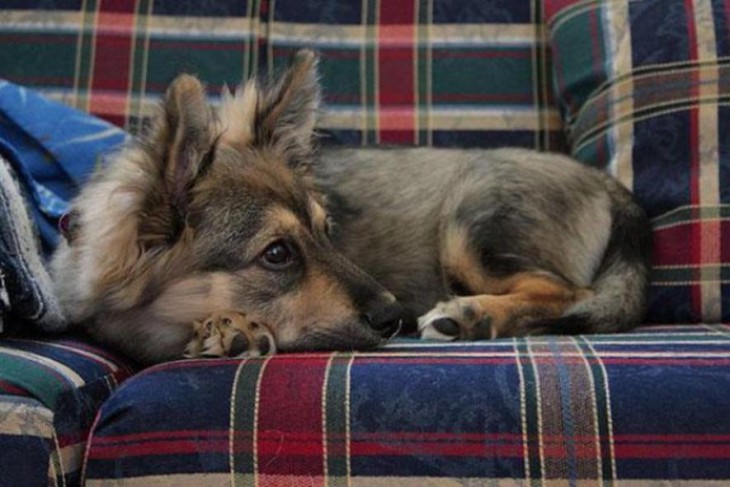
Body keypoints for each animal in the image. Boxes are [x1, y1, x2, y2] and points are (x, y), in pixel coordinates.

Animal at [51, 50, 648, 366]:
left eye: (327, 230)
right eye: (277, 254)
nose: (394, 318)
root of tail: (607, 183)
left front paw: (229, 328)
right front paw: (225, 328)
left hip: (469, 223)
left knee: (568, 292)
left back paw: (472, 314)